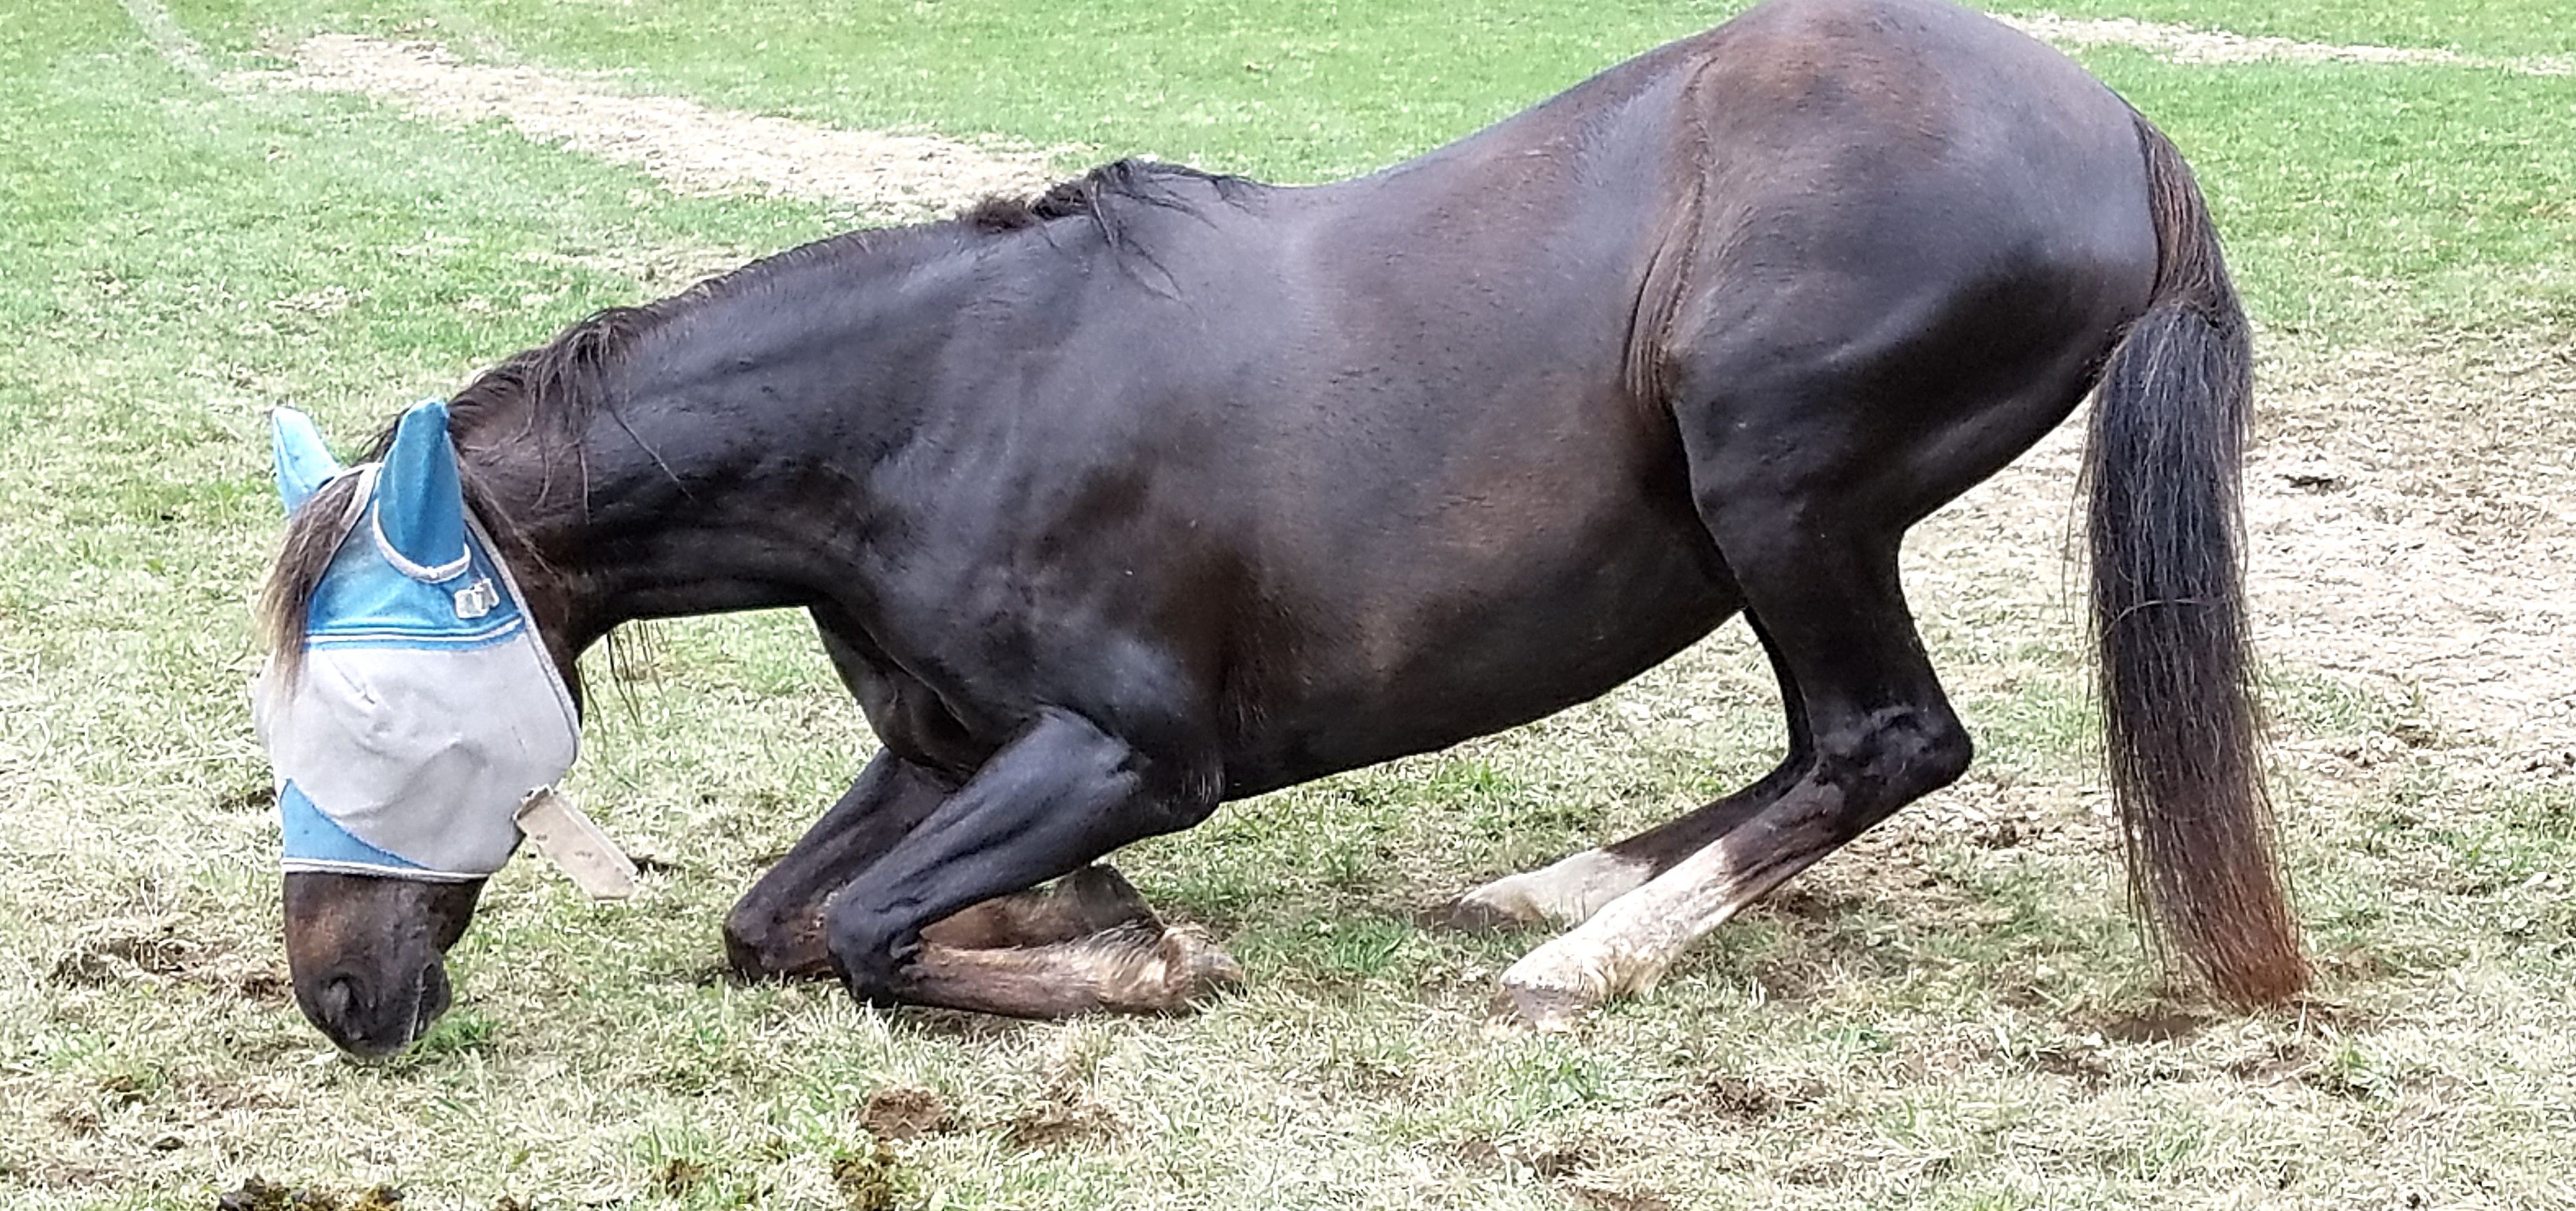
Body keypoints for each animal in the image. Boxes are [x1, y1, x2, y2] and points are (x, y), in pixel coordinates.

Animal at [254, 0, 2303, 1057]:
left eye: (375, 716)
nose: (340, 997)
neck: (934, 410)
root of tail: (2128, 140)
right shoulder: (944, 747)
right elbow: (779, 922)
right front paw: (1075, 918)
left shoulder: (1130, 752)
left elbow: (875, 932)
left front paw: (1139, 956)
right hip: (1773, 529)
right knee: (1822, 745)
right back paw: (1559, 891)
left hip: (1784, 492)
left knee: (1882, 739)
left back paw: (1575, 958)